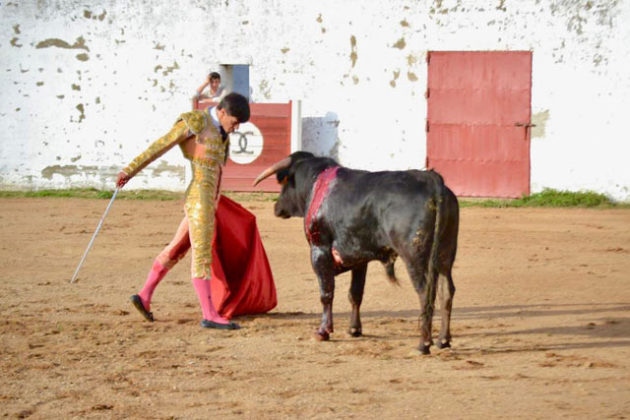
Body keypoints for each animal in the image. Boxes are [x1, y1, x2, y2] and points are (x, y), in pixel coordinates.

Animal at [254, 152, 462, 354]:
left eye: (284, 183)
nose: (276, 208)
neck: (317, 185)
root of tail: (431, 180)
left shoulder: (319, 249)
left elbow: (326, 293)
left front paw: (323, 331)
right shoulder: (359, 257)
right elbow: (355, 293)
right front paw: (354, 329)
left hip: (414, 256)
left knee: (425, 292)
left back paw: (423, 344)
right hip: (445, 253)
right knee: (446, 291)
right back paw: (443, 340)